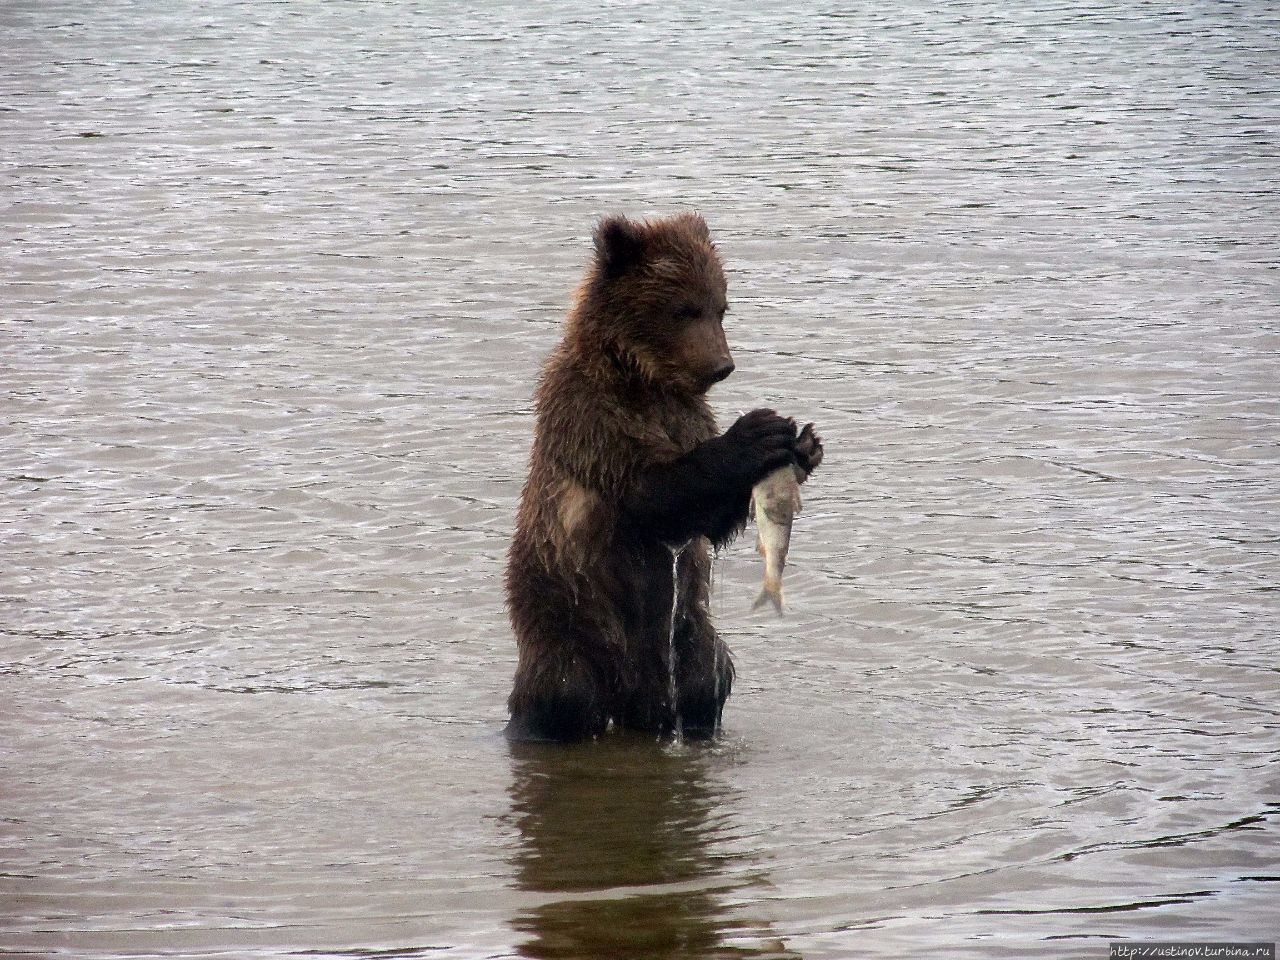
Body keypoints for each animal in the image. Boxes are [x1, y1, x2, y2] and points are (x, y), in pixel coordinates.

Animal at [504, 213, 824, 742]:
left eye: (721, 307)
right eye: (684, 309)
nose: (722, 365)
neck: (644, 379)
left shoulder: (688, 415)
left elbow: (705, 521)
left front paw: (804, 446)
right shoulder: (592, 416)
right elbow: (651, 491)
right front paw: (757, 432)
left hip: (686, 634)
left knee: (705, 679)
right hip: (567, 626)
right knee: (564, 695)